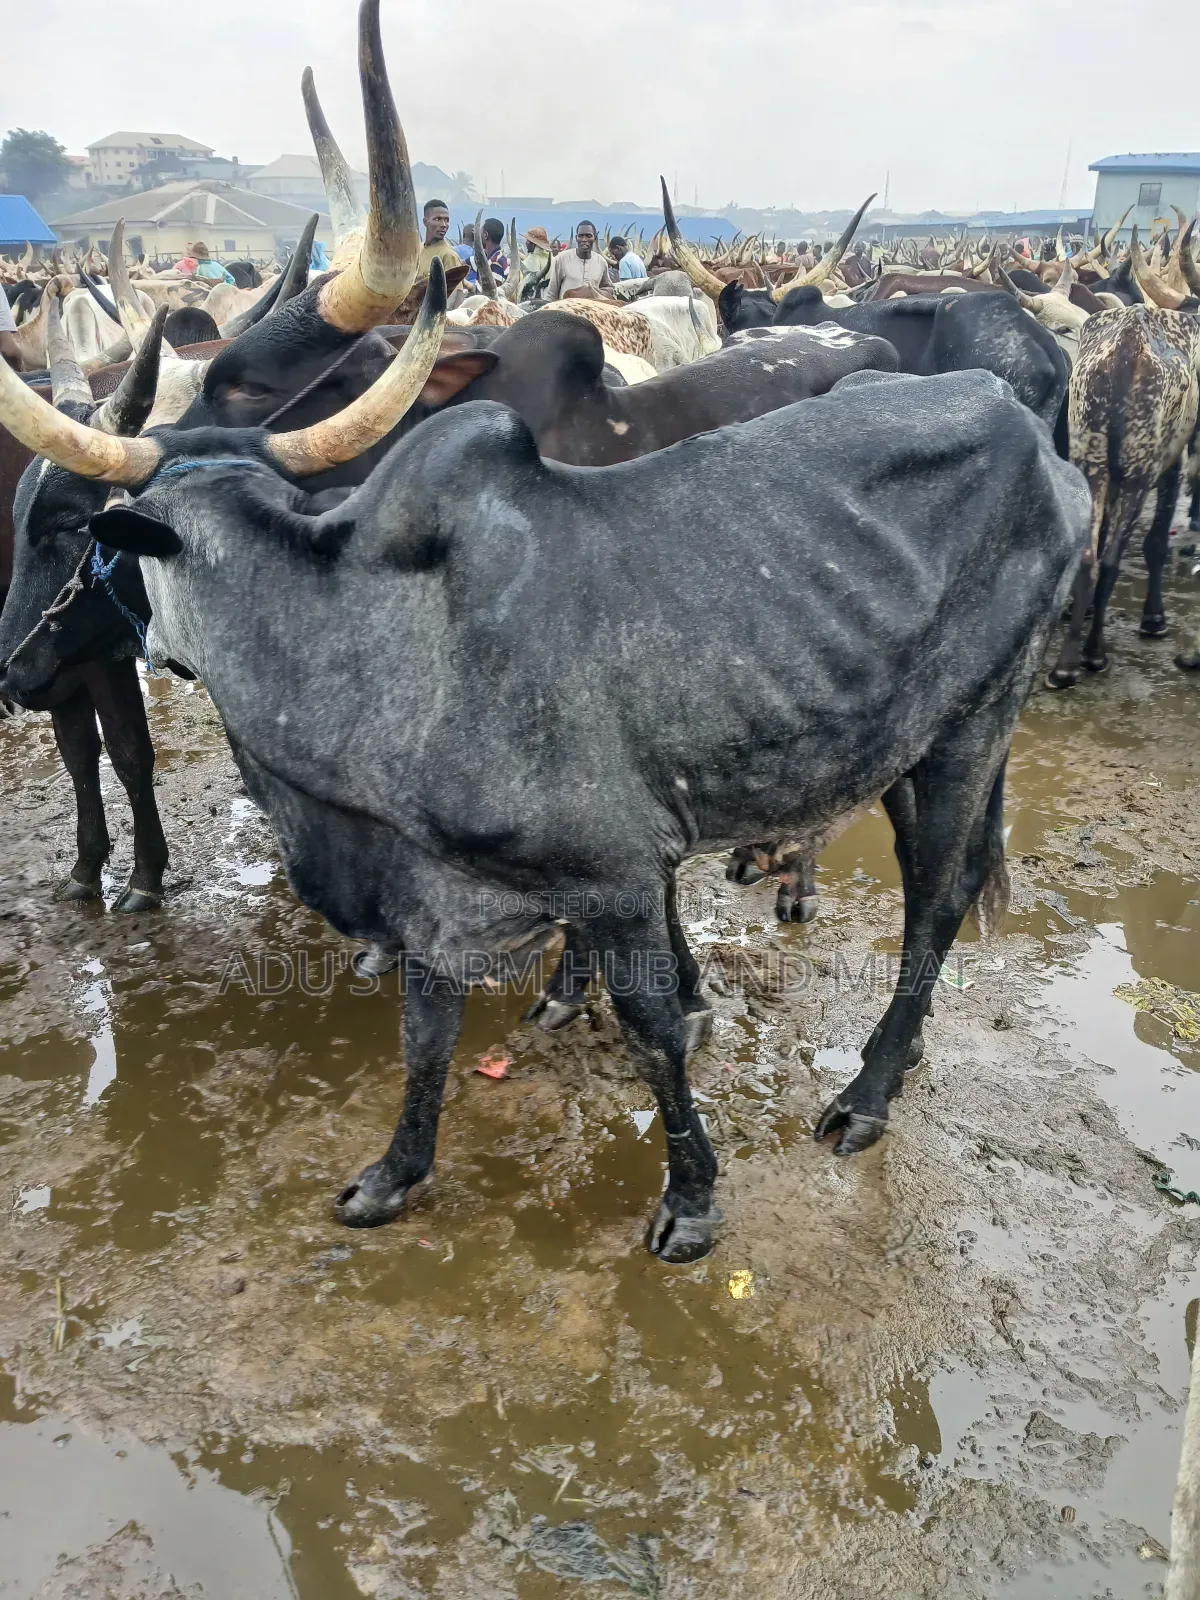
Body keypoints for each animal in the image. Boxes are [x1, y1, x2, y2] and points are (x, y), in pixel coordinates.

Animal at [0, 267, 1092, 1261]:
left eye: (73, 530)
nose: (16, 666)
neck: (364, 636)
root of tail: (1030, 433)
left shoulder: (616, 877)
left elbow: (653, 1028)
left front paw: (691, 1198)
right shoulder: (433, 890)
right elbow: (424, 1032)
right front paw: (394, 1173)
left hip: (968, 729)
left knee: (939, 898)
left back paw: (866, 1093)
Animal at [1047, 304, 1200, 687]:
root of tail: (1129, 343)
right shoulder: (1171, 466)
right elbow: (1156, 543)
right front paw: (1154, 619)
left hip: (1091, 461)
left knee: (1089, 556)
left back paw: (1065, 665)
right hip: (1137, 472)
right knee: (1112, 559)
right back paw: (1094, 654)